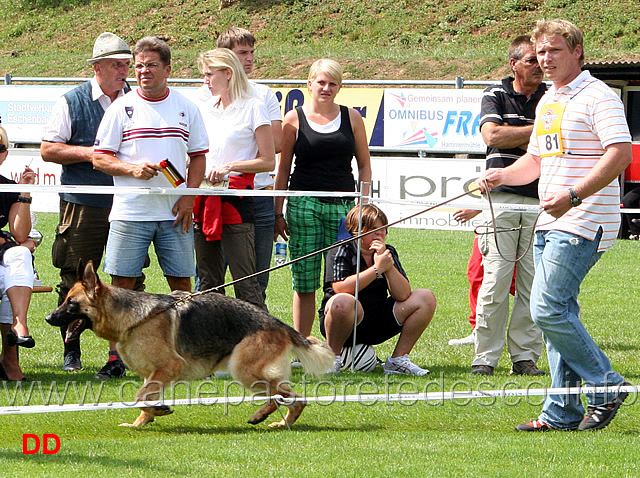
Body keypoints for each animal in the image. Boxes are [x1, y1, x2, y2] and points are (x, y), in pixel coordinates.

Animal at [47, 262, 332, 430]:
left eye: (70, 303)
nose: (48, 318)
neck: (133, 317)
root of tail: (278, 323)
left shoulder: (168, 367)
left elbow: (139, 397)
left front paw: (156, 411)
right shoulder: (153, 375)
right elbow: (143, 398)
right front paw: (143, 421)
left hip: (245, 371)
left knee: (292, 397)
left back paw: (267, 417)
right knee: (287, 397)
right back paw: (277, 420)